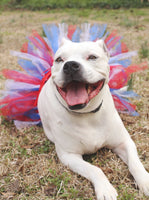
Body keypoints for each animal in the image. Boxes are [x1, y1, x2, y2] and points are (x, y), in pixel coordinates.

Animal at [37, 38, 149, 200]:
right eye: (59, 60)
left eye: (92, 57)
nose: (70, 65)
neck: (86, 114)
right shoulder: (69, 156)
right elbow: (94, 169)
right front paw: (105, 188)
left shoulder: (124, 142)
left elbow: (135, 163)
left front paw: (145, 180)